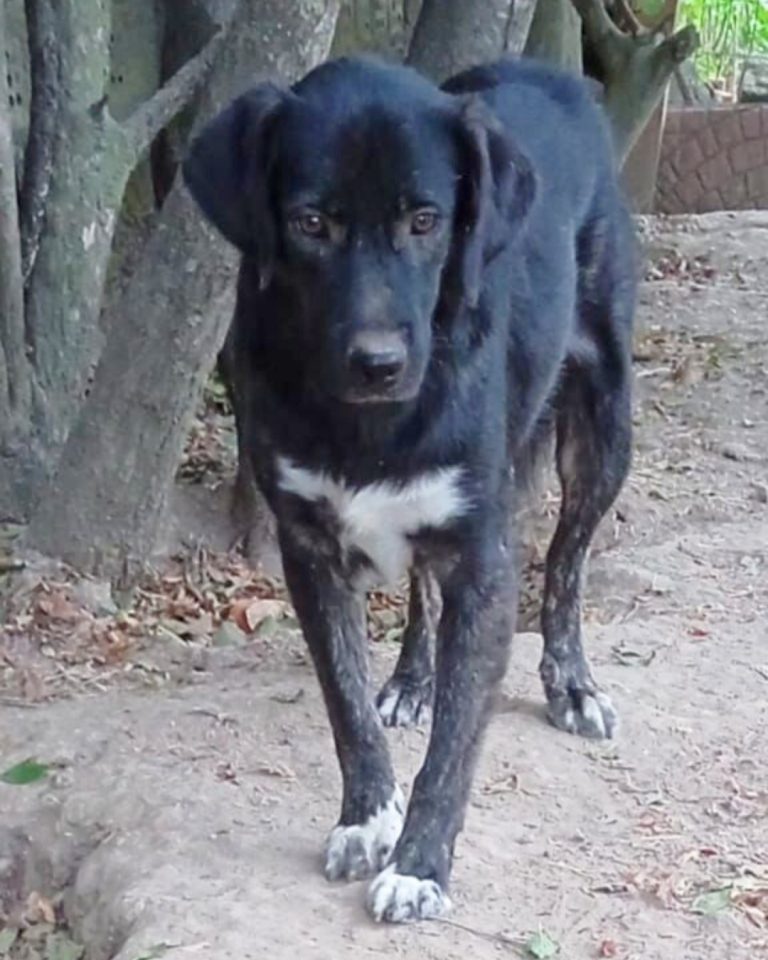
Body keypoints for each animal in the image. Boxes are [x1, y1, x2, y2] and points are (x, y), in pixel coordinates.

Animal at [184, 54, 635, 923]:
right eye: (310, 223)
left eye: (427, 220)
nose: (378, 363)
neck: (372, 424)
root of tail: (544, 69)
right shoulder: (308, 551)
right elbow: (346, 704)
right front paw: (366, 817)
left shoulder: (485, 560)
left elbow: (456, 742)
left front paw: (421, 864)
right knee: (425, 589)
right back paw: (411, 681)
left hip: (604, 426)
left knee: (567, 562)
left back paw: (571, 683)